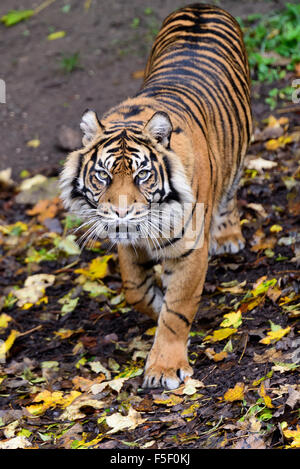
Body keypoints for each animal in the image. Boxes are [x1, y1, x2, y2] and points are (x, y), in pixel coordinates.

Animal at [59, 3, 252, 390]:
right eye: (102, 176)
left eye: (142, 175)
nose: (120, 214)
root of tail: (201, 6)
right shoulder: (129, 245)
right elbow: (135, 289)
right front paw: (157, 303)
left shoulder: (191, 248)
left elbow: (178, 310)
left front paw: (165, 367)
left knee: (231, 193)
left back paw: (228, 237)